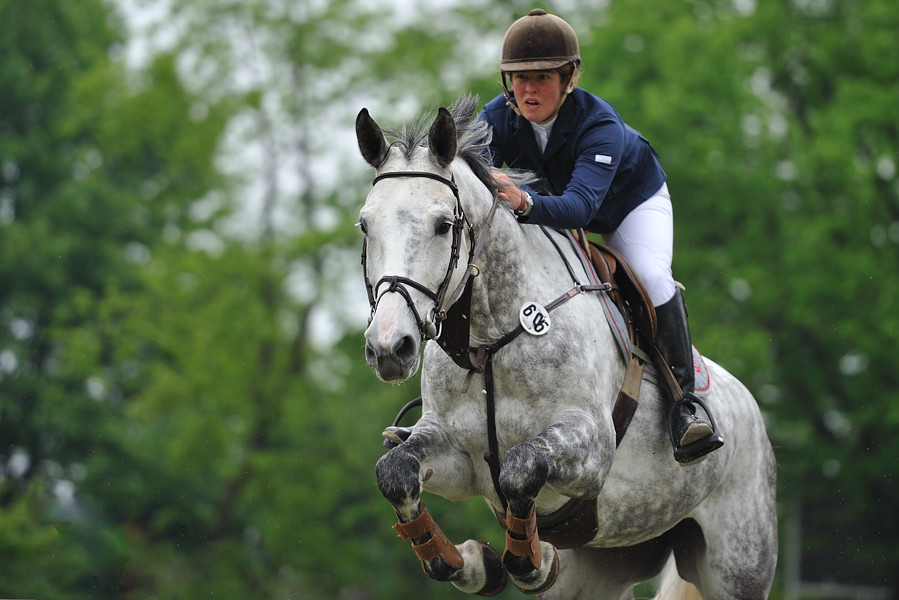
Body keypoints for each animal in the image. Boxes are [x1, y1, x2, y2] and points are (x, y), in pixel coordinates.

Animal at [355, 95, 777, 599]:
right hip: (603, 564)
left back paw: (691, 426)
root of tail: (749, 405)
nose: (388, 348)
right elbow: (394, 471)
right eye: (365, 225)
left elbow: (520, 467)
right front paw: (472, 564)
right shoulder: (454, 454)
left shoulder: (592, 450)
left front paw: (529, 563)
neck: (490, 341)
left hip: (738, 563)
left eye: (442, 225)